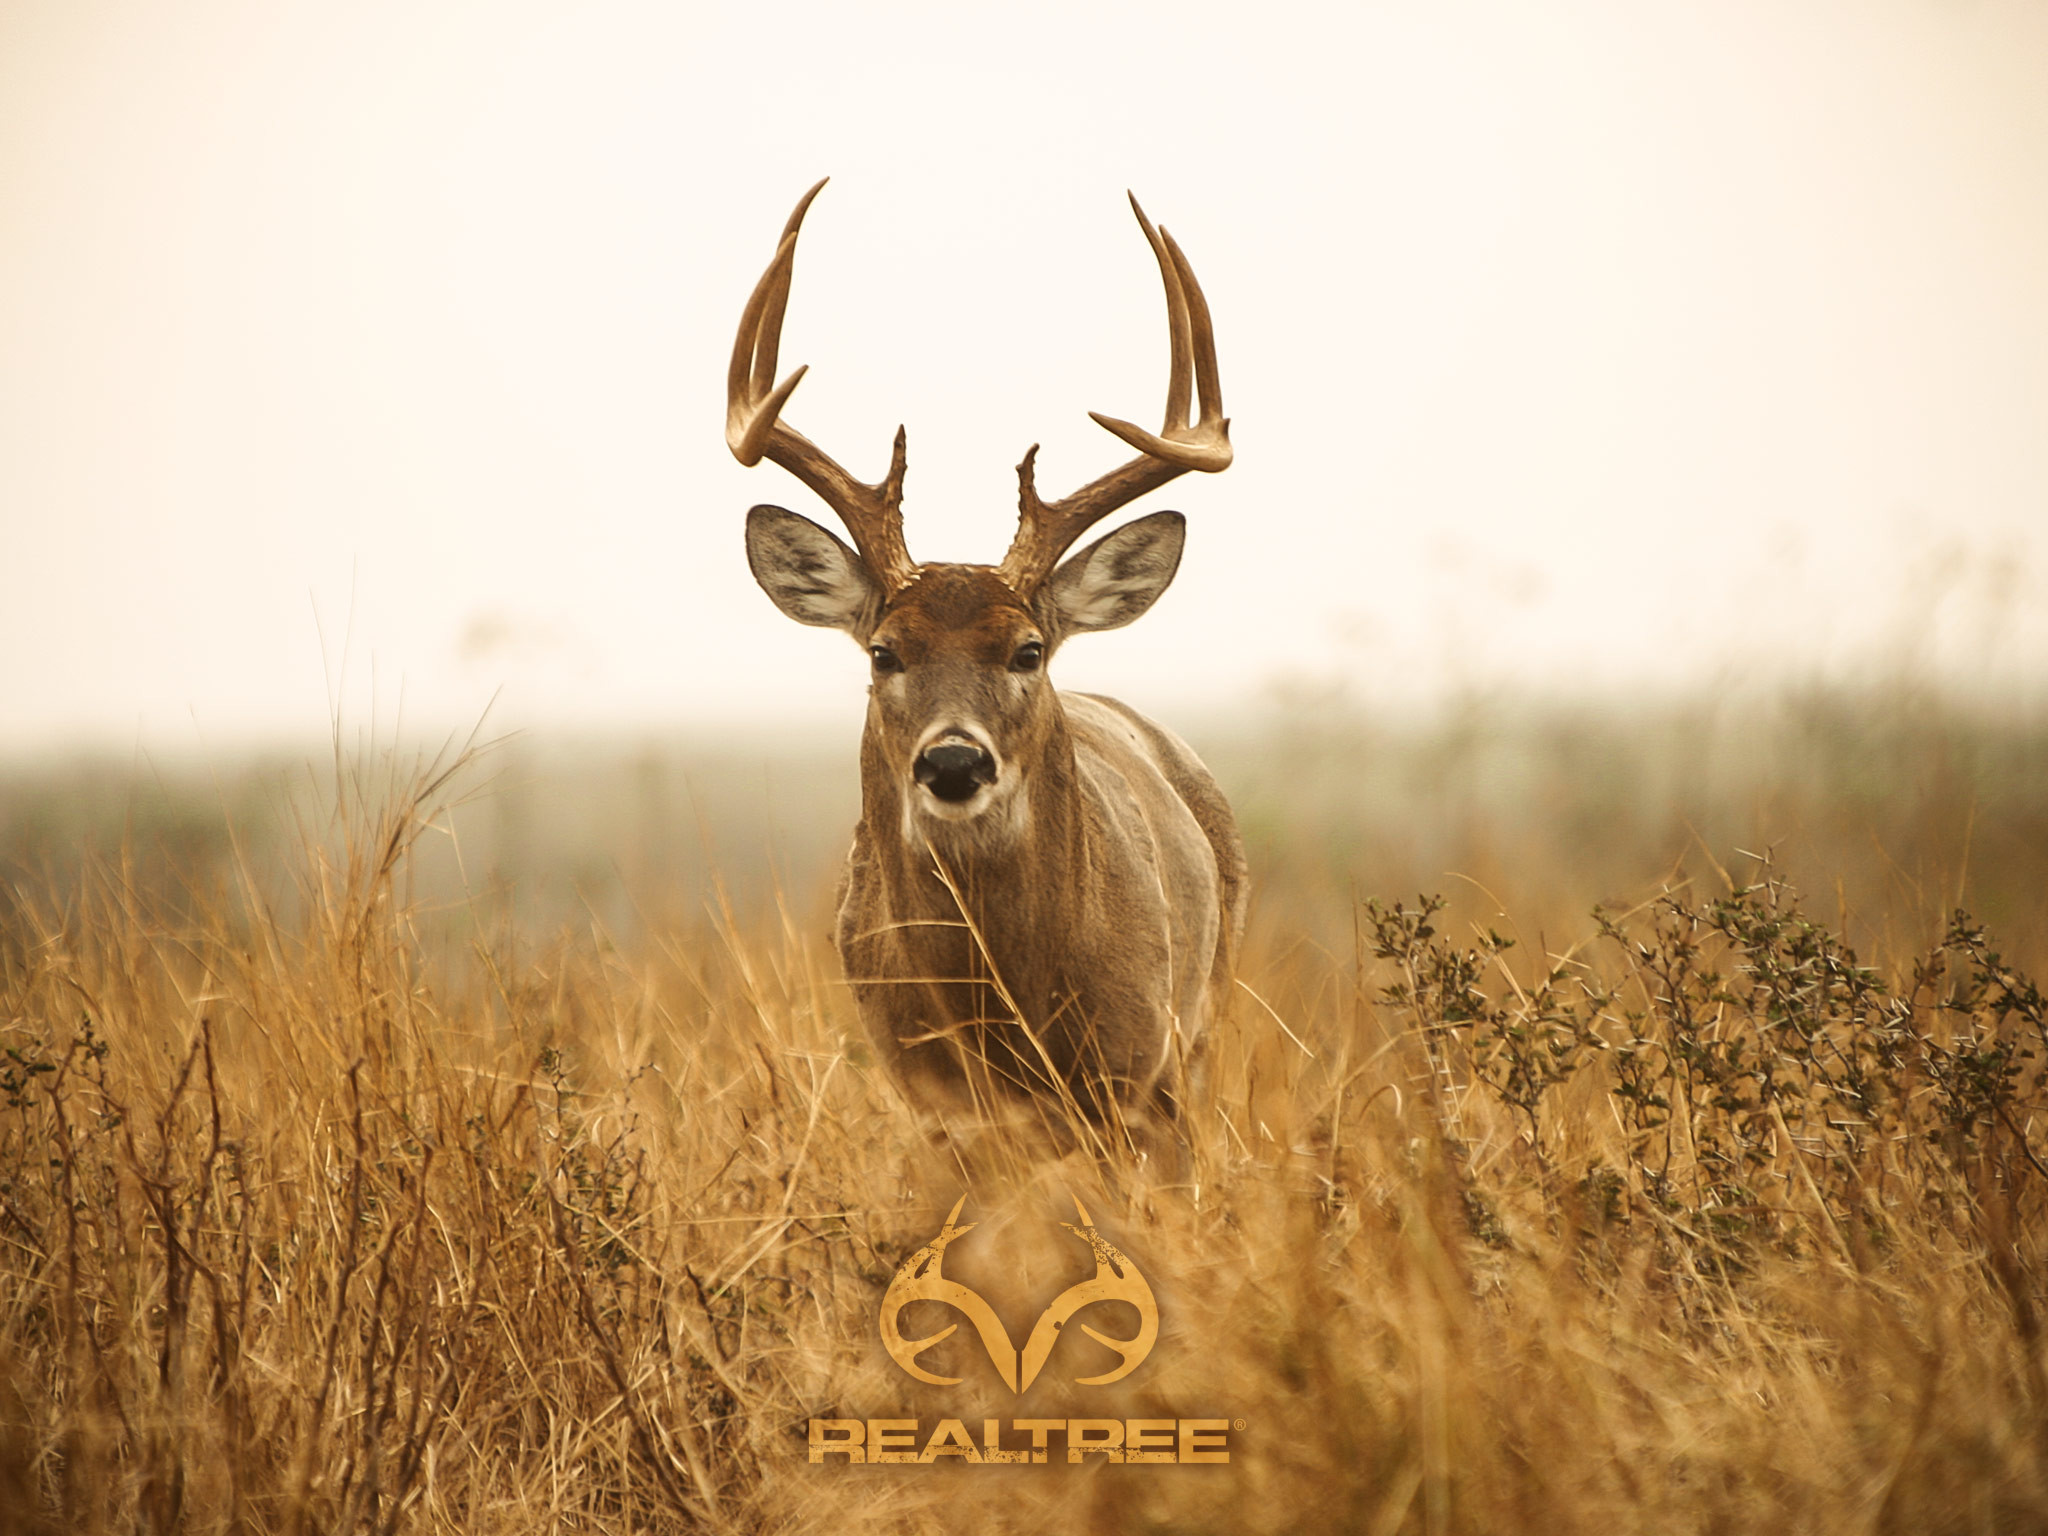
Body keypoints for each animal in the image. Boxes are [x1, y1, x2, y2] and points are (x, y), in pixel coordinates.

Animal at [726, 180, 1244, 1154]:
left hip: (1203, 1022)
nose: (954, 761)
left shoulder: (1138, 1076)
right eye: (884, 652)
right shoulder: (934, 1104)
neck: (1010, 1013)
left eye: (1026, 650)